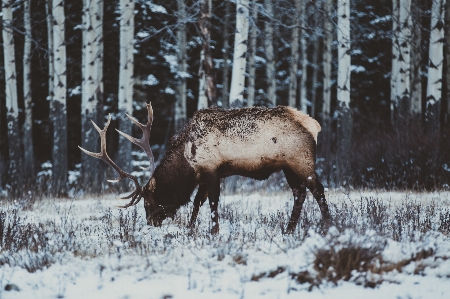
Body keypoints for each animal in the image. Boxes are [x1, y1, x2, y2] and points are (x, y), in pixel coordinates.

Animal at [80, 103, 330, 234]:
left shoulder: (212, 170)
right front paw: (191, 229)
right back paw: (289, 229)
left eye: (148, 202)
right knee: (299, 193)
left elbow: (212, 202)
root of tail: (315, 125)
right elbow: (197, 202)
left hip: (301, 161)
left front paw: (214, 230)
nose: (151, 222)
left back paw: (327, 225)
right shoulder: (203, 176)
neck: (186, 161)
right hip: (288, 167)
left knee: (318, 190)